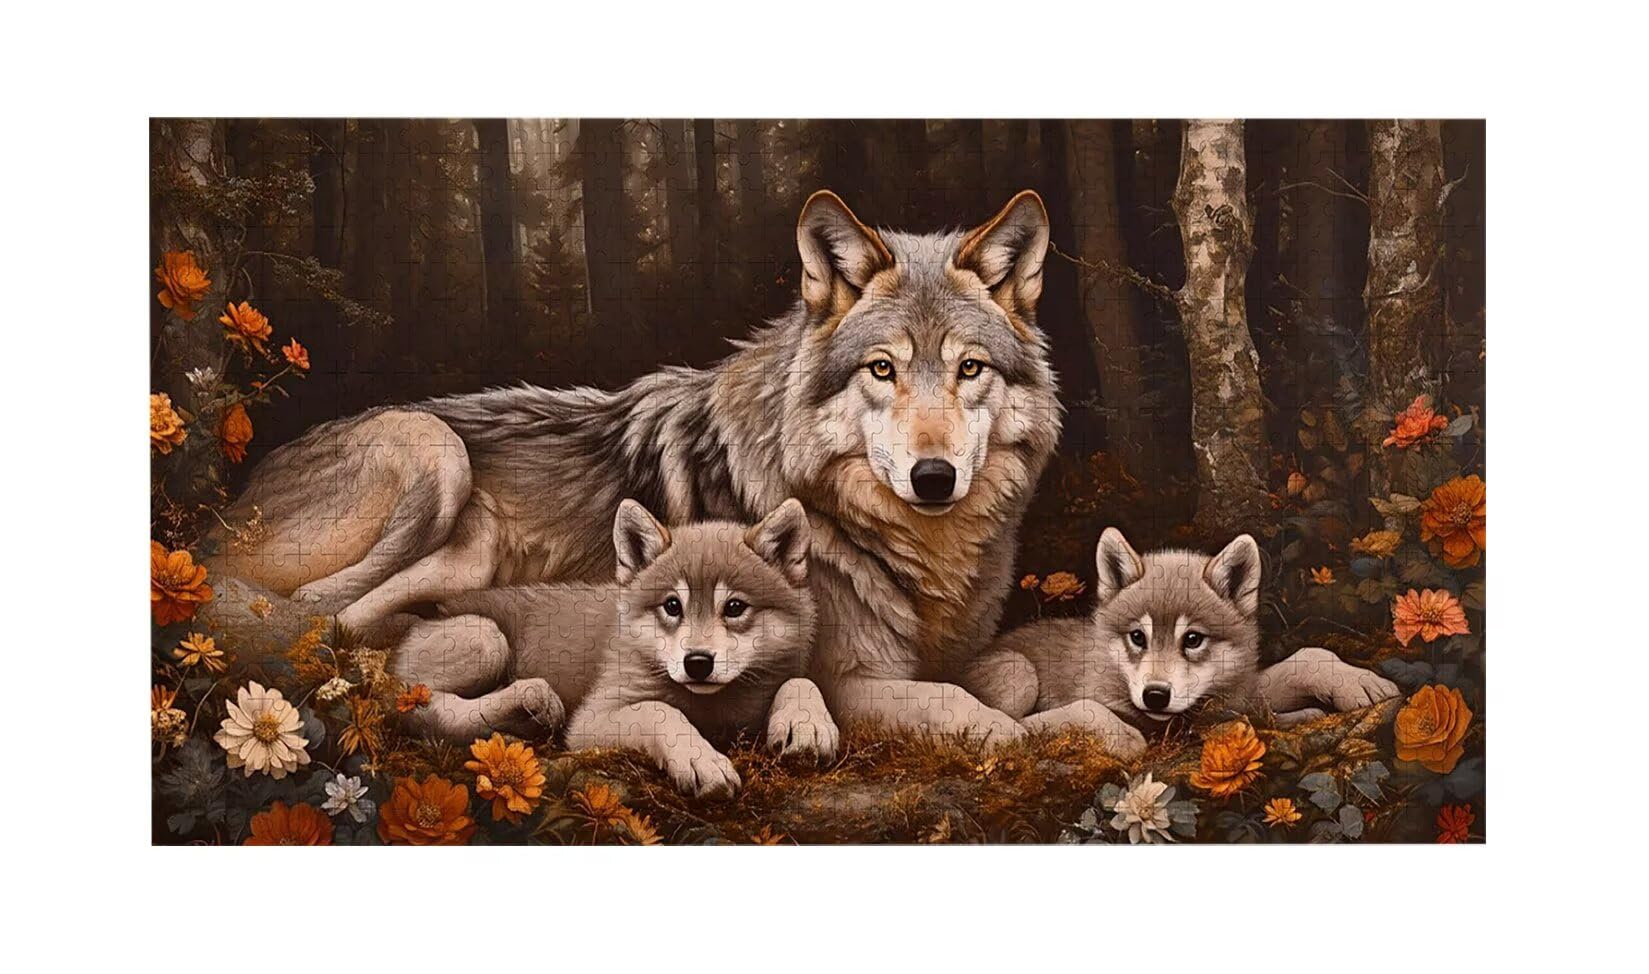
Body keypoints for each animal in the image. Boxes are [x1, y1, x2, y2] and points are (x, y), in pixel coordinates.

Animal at [212, 189, 1063, 742]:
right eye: (882, 369)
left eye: (970, 369)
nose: (933, 478)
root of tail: (232, 499)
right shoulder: (849, 677)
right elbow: (960, 708)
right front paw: (1009, 732)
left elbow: (1013, 675)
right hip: (434, 454)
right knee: (334, 626)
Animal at [392, 498, 833, 798]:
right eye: (672, 606)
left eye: (735, 607)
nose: (697, 662)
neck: (712, 707)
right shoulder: (593, 719)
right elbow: (659, 711)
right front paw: (700, 759)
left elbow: (801, 682)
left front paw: (808, 726)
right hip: (485, 637)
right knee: (420, 710)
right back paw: (528, 700)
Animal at [969, 528, 1400, 757]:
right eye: (1137, 637)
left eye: (1192, 639)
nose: (1156, 695)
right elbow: (1089, 708)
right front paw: (1121, 736)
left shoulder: (1236, 694)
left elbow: (1308, 655)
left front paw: (1359, 683)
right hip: (1019, 672)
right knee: (1015, 724)